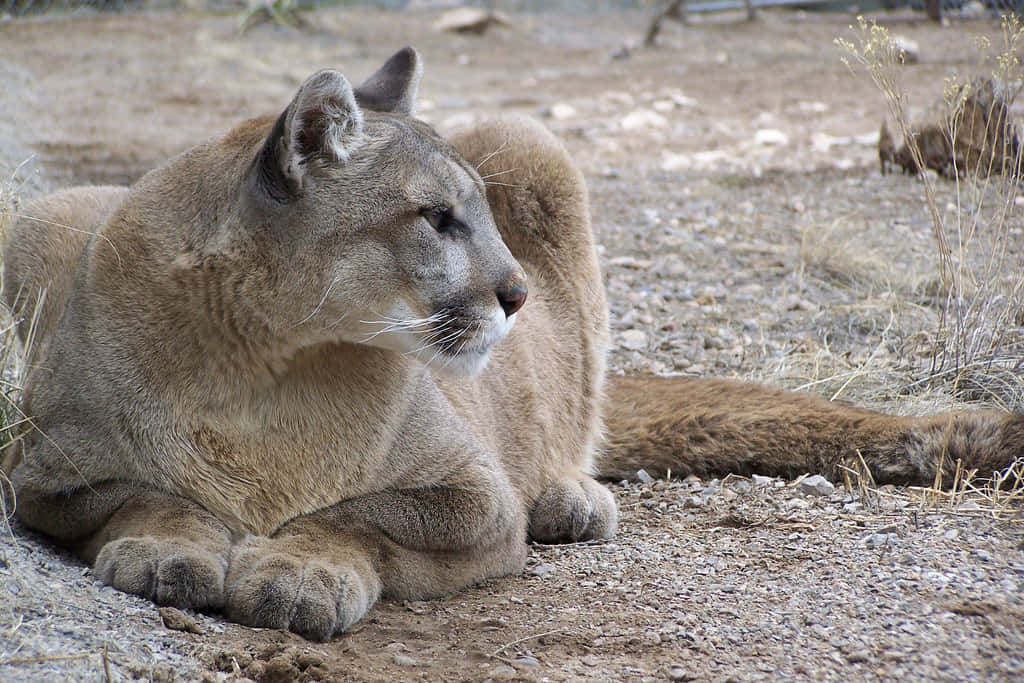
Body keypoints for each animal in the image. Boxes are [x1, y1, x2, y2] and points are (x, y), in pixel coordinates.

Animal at [4, 48, 1019, 643]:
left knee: (585, 417)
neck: (267, 362)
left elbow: (361, 514)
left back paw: (570, 498)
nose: (517, 292)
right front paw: (170, 547)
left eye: (482, 212)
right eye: (437, 217)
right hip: (38, 220)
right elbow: (145, 492)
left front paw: (298, 568)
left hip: (536, 142)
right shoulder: (48, 471)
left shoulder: (472, 493)